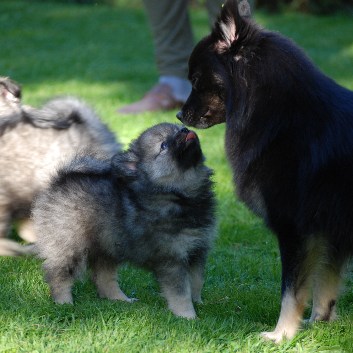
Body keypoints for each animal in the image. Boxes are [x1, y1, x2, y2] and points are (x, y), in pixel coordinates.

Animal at [32, 122, 214, 318]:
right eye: (164, 145)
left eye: (178, 128)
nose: (185, 130)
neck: (179, 194)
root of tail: (59, 181)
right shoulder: (172, 258)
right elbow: (181, 292)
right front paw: (188, 316)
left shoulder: (197, 251)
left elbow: (196, 281)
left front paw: (199, 302)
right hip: (70, 246)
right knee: (59, 274)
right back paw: (64, 303)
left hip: (108, 246)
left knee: (104, 279)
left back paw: (120, 299)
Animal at [177, 0, 352, 340]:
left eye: (196, 80)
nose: (179, 114)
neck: (282, 115)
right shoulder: (331, 231)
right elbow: (325, 286)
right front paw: (317, 324)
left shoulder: (296, 229)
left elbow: (292, 291)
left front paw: (281, 334)